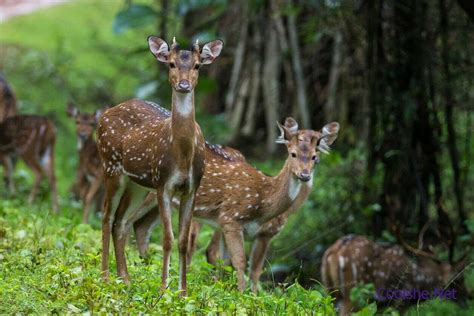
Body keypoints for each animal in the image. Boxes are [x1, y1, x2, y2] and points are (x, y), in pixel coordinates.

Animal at [96, 35, 224, 296]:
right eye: (171, 64)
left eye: (197, 66)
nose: (184, 85)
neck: (182, 156)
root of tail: (104, 114)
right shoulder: (163, 183)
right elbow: (167, 238)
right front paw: (164, 288)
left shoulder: (192, 188)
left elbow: (184, 241)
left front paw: (183, 291)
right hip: (111, 166)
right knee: (106, 216)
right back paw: (105, 277)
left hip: (137, 184)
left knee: (120, 222)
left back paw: (125, 279)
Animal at [133, 116, 340, 292]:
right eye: (293, 154)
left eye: (315, 157)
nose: (305, 175)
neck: (264, 200)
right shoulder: (233, 219)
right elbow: (240, 262)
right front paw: (242, 294)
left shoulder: (247, 230)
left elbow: (243, 266)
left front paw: (232, 292)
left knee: (141, 226)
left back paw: (146, 268)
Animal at [320, 233, 468, 314]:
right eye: (459, 278)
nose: (468, 297)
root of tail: (333, 251)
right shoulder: (401, 299)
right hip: (352, 293)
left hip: (330, 290)